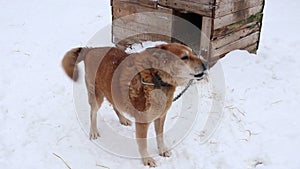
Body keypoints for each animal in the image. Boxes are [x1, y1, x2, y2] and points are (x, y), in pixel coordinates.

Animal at [61, 43, 209, 167]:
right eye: (184, 57)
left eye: (193, 53)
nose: (207, 63)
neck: (156, 78)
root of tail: (91, 49)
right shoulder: (143, 122)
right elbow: (143, 144)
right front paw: (146, 159)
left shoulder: (160, 117)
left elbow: (160, 137)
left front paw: (162, 150)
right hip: (97, 96)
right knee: (93, 112)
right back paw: (93, 131)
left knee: (115, 106)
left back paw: (123, 120)